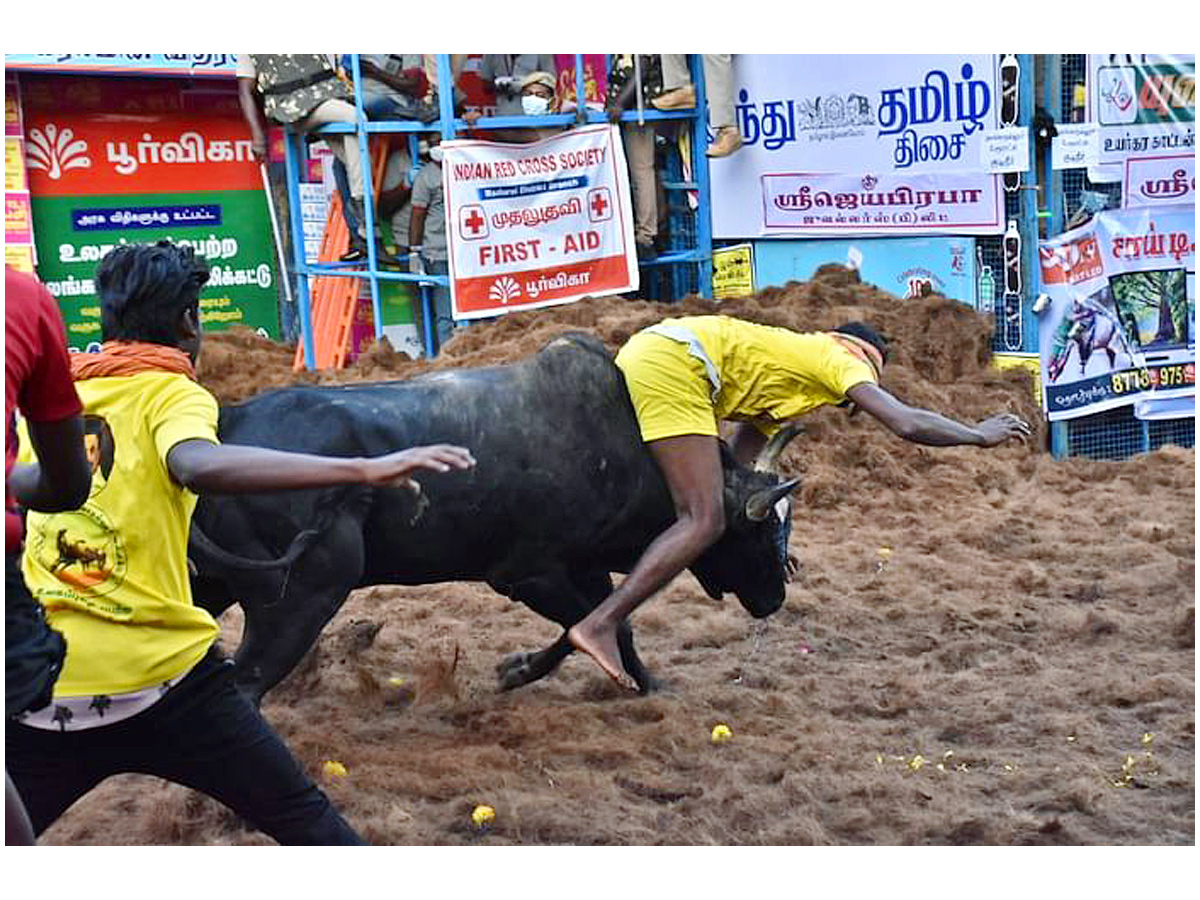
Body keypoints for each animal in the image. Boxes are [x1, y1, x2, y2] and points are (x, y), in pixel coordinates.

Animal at [189, 336, 796, 710]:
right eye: (761, 530)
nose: (775, 598)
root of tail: (224, 424)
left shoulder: (584, 566)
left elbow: (612, 624)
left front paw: (646, 683)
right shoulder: (528, 575)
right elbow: (587, 628)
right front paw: (517, 671)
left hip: (214, 583)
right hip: (298, 599)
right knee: (246, 684)